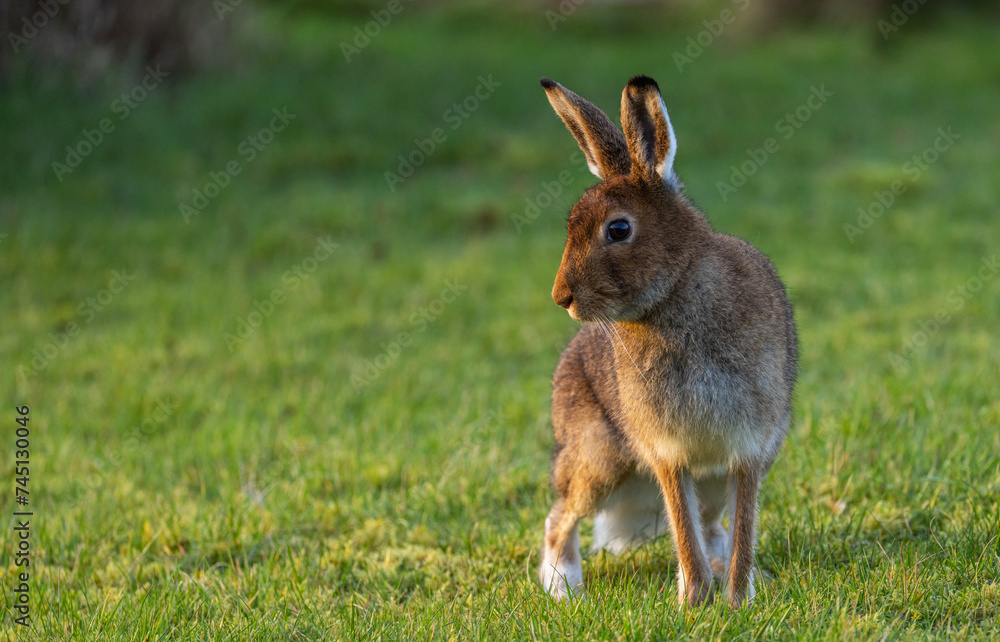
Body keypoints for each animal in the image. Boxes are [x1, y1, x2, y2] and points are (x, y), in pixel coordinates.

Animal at [536, 75, 797, 608]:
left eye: (618, 229)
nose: (561, 297)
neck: (676, 289)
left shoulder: (747, 452)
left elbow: (741, 533)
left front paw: (735, 601)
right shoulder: (668, 454)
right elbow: (682, 531)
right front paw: (694, 603)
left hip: (709, 482)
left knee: (714, 529)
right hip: (598, 460)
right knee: (560, 517)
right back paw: (563, 588)